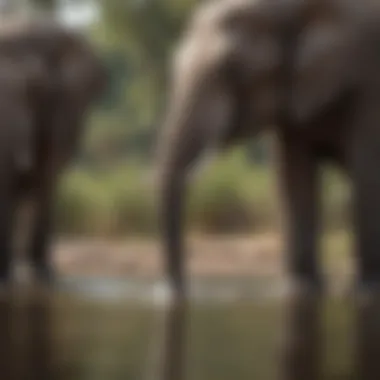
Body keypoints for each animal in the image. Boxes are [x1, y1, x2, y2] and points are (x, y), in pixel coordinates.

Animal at [157, 0, 380, 300]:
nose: (172, 292)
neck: (288, 8)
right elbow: (294, 179)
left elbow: (368, 173)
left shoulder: (371, 80)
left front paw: (367, 292)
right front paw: (301, 290)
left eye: (230, 67)